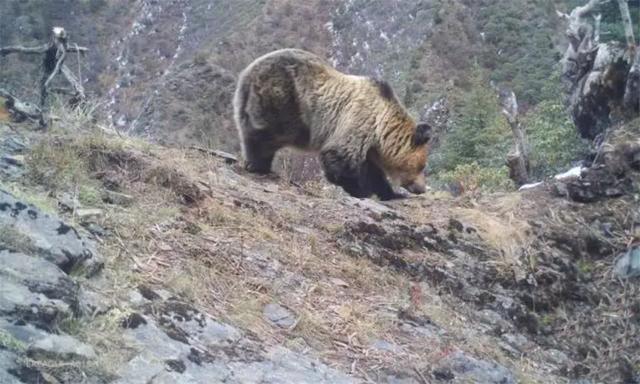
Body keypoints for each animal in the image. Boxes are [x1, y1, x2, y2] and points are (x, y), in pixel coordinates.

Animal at [232, 48, 432, 201]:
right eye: (421, 166)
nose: (421, 188)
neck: (381, 127)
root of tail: (248, 71)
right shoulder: (358, 120)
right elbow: (339, 157)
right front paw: (361, 190)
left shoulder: (369, 144)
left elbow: (373, 171)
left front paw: (391, 193)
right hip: (283, 97)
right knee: (266, 134)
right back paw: (258, 165)